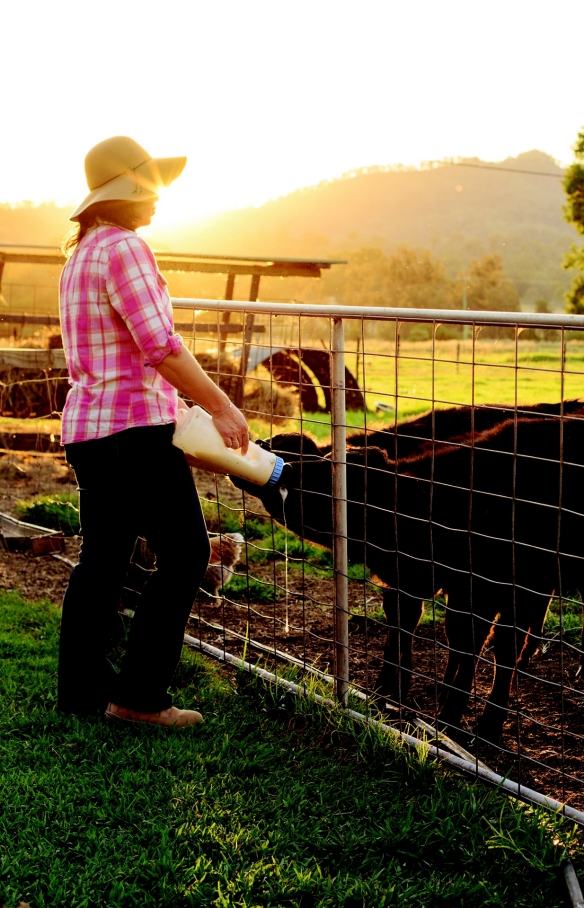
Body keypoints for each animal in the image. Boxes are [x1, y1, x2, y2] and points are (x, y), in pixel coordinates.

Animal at [232, 404, 584, 744]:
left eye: (329, 478)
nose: (261, 447)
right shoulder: (420, 583)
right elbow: (412, 627)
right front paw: (389, 691)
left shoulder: (497, 588)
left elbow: (486, 645)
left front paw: (469, 723)